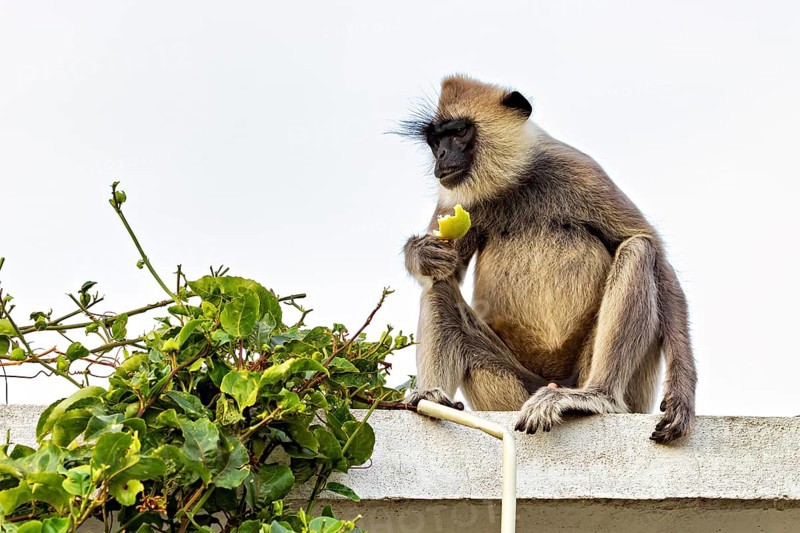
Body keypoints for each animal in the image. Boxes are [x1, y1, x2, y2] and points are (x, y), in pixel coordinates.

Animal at [399, 75, 696, 443]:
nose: (441, 155)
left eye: (458, 132)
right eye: (435, 140)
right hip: (513, 389)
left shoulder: (579, 169)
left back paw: (596, 397)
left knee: (639, 250)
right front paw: (422, 253)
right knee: (439, 286)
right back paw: (432, 397)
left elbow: (658, 259)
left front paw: (681, 397)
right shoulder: (457, 198)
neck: (517, 181)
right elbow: (444, 271)